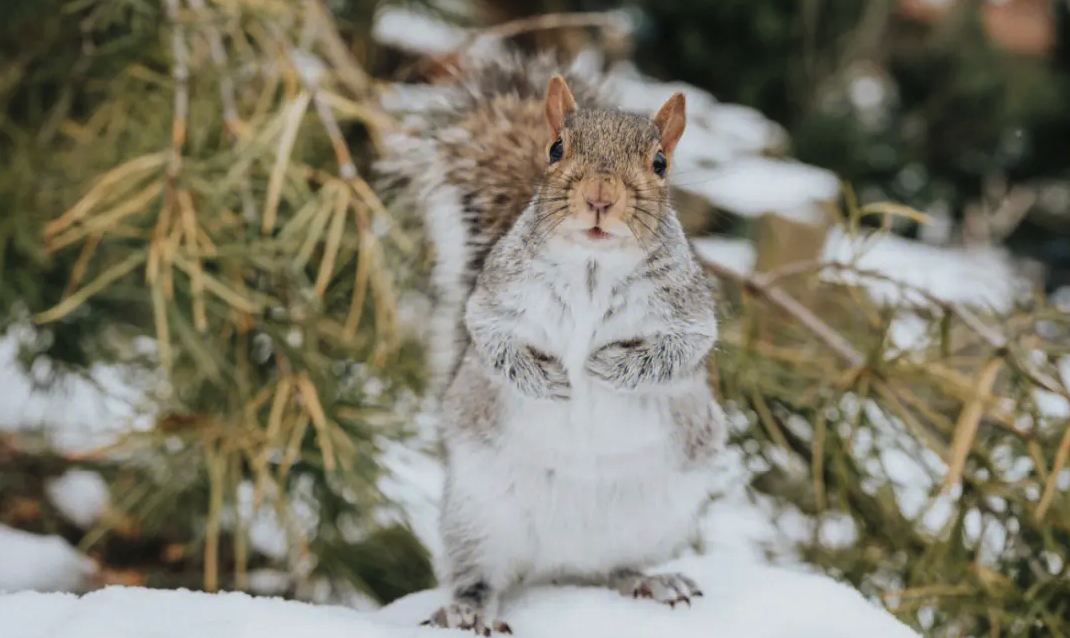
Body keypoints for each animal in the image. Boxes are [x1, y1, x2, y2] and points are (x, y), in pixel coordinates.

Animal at [378, 53, 727, 633]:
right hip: (477, 514)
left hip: (659, 515)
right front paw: (548, 380)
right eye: (556, 148)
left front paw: (608, 368)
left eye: (660, 163)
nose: (600, 197)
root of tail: (563, 563)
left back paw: (651, 581)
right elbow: (489, 337)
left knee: (616, 567)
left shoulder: (689, 313)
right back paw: (467, 609)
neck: (592, 268)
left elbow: (678, 351)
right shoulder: (494, 297)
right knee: (478, 574)